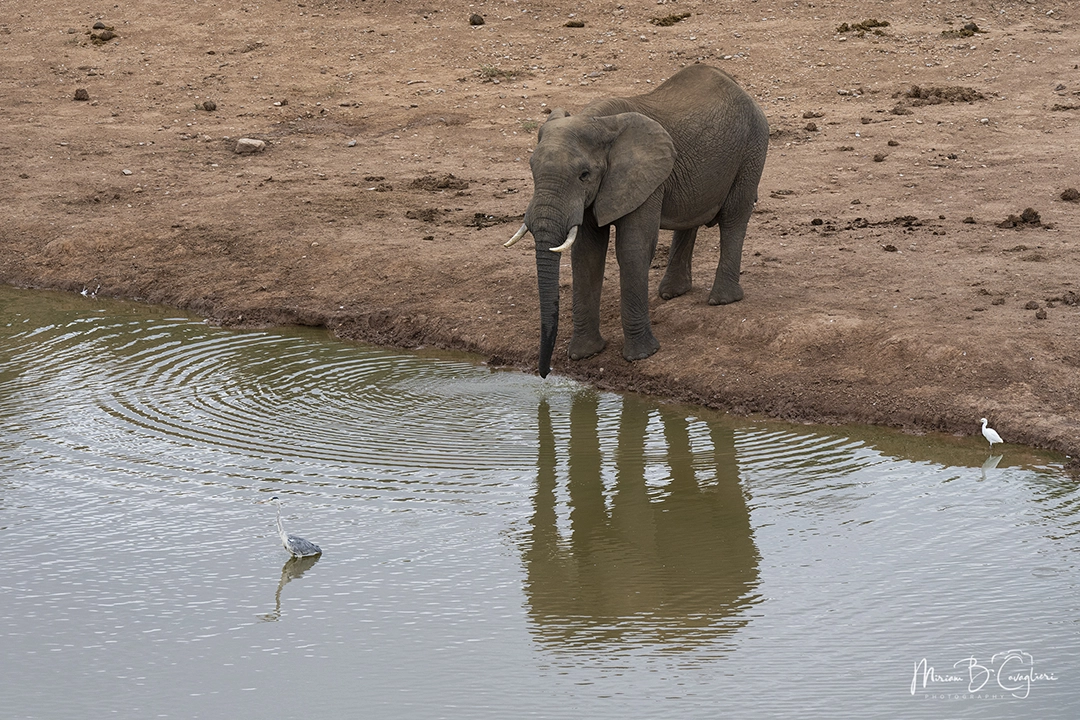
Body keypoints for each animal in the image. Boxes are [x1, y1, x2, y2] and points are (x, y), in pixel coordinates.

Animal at [505, 64, 769, 377]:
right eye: (532, 168)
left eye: (584, 175)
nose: (544, 373)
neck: (599, 121)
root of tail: (739, 86)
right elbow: (587, 254)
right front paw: (584, 354)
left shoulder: (645, 179)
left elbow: (633, 249)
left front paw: (642, 355)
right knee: (690, 218)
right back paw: (672, 293)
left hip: (752, 149)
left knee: (734, 218)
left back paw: (721, 299)